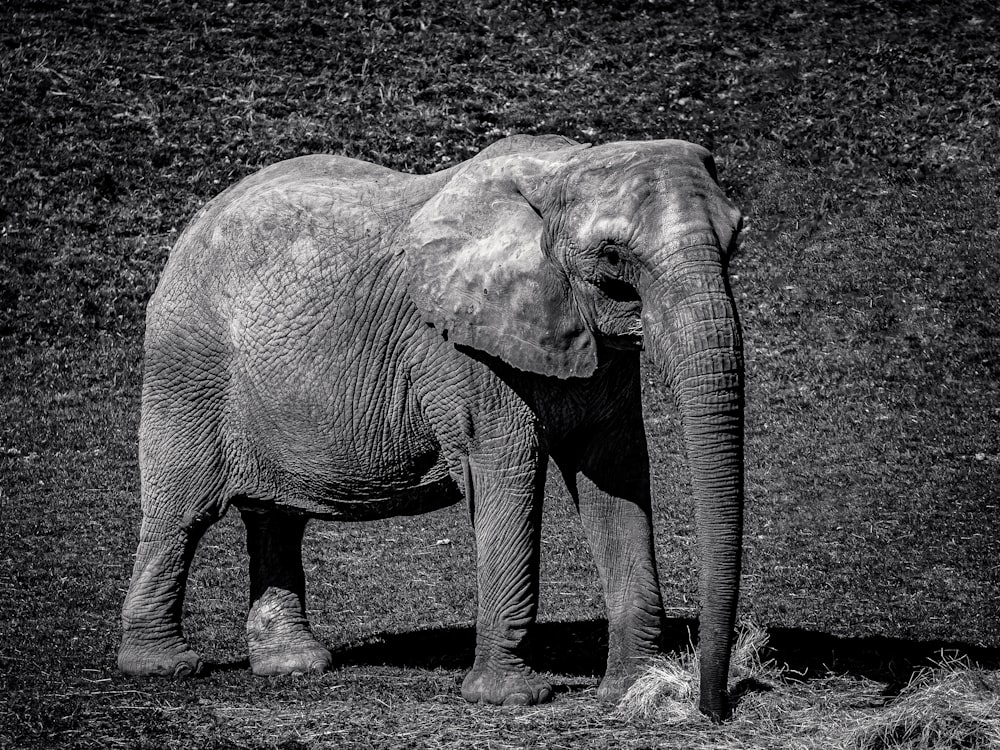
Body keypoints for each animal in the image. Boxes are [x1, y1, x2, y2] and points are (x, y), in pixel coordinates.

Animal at [117, 134, 744, 724]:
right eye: (612, 257)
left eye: (734, 241)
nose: (713, 708)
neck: (561, 169)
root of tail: (195, 223)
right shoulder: (461, 350)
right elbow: (506, 475)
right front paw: (512, 699)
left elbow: (616, 479)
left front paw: (635, 691)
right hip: (187, 363)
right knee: (182, 512)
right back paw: (164, 667)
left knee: (276, 516)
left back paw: (293, 666)